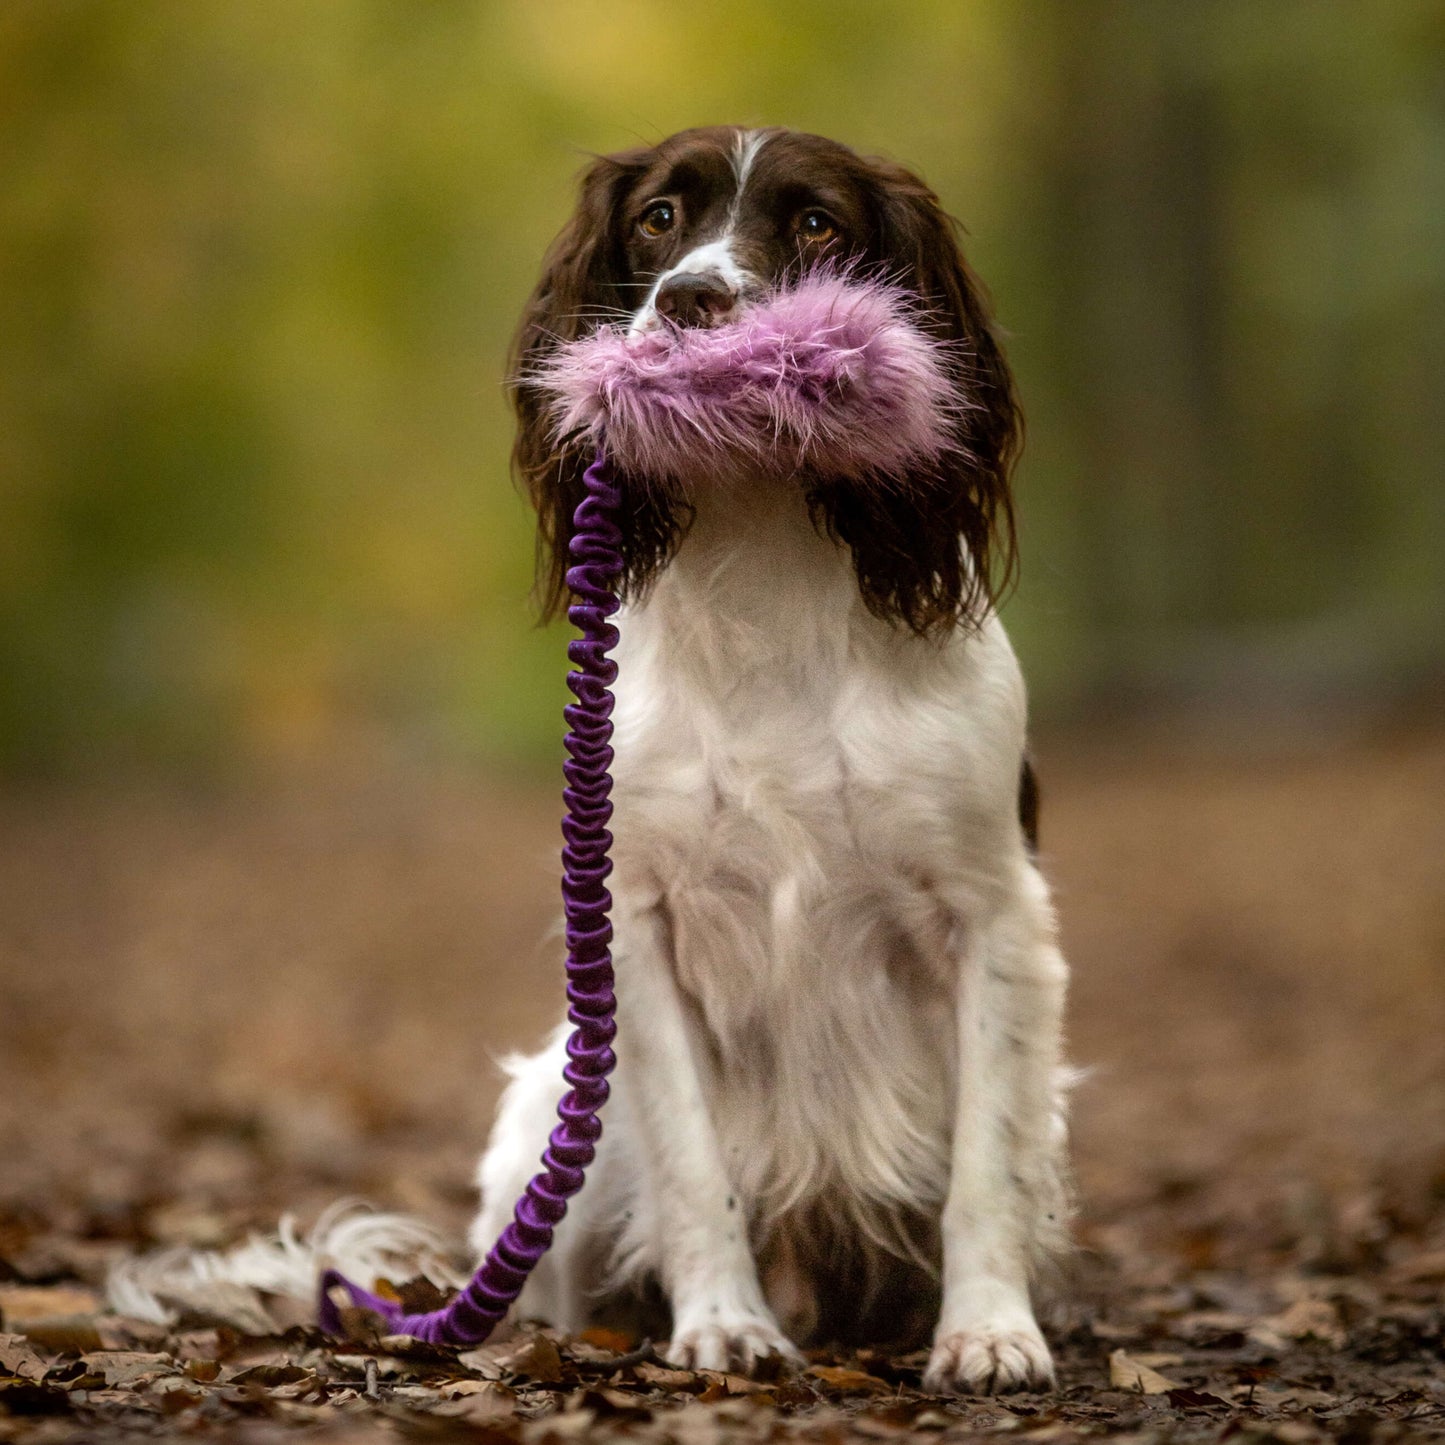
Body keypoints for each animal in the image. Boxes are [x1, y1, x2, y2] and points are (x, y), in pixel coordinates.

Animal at [473, 130, 1075, 1392]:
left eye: (812, 225)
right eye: (657, 217)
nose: (691, 299)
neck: (764, 577)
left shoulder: (996, 916)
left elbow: (984, 1166)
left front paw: (988, 1331)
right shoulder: (635, 926)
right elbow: (695, 1162)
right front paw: (721, 1325)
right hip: (548, 1115)